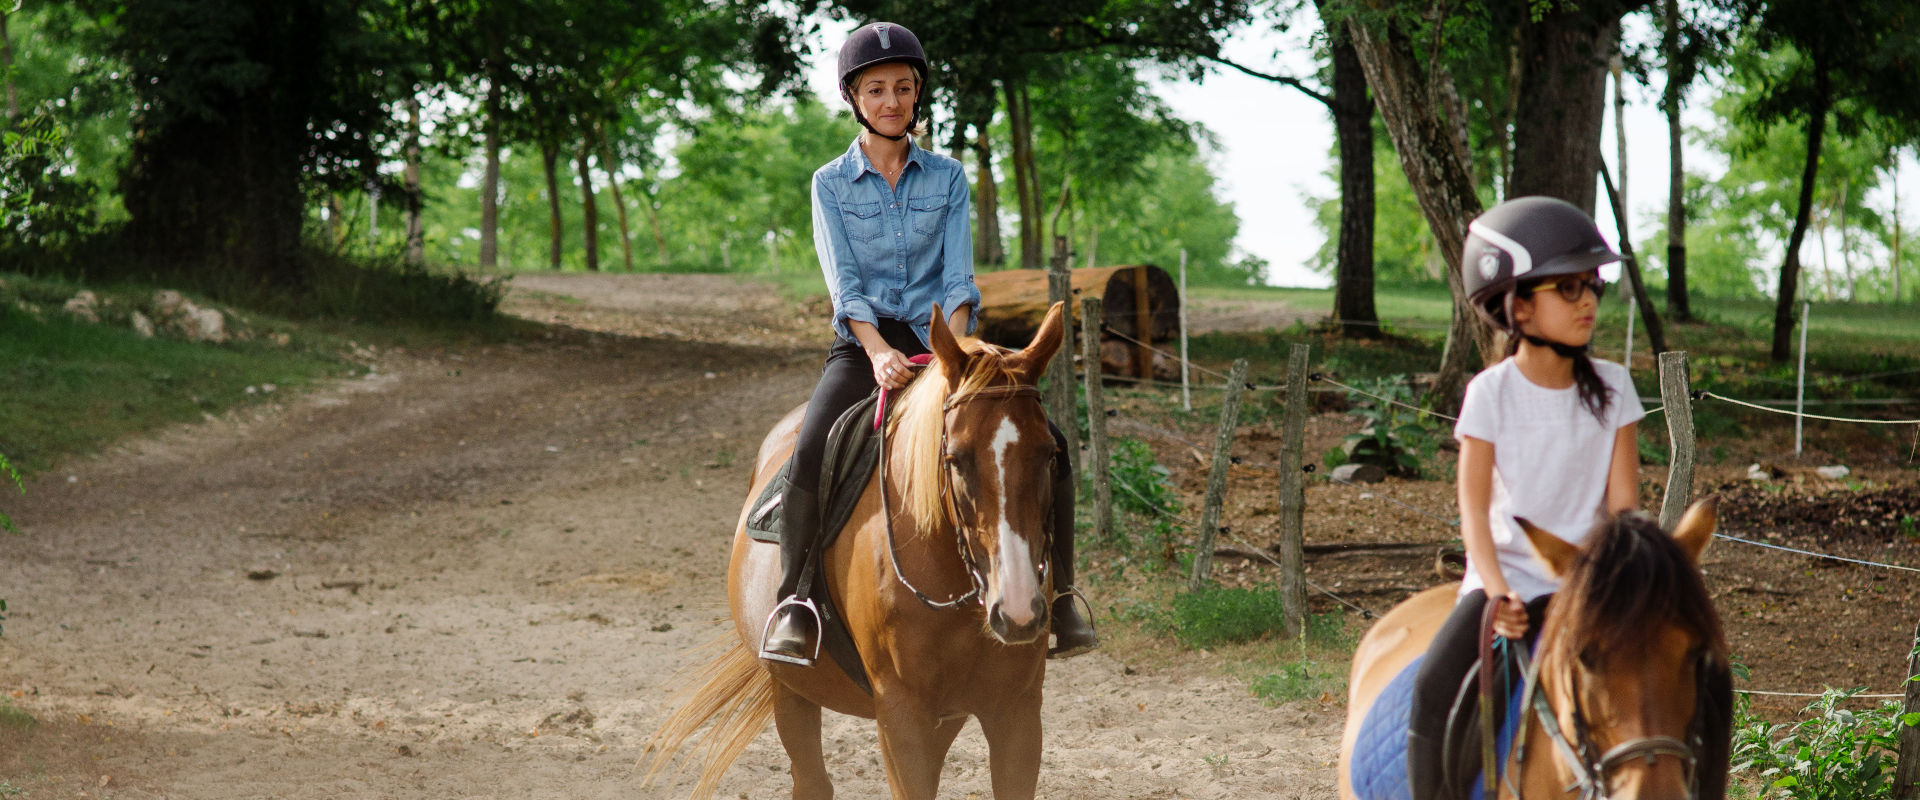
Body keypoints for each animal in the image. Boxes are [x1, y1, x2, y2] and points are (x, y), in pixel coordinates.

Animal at [641, 301, 1067, 798]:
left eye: (1049, 455)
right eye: (955, 459)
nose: (1018, 611)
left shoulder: (1017, 713)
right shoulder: (902, 719)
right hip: (791, 689)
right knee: (811, 780)